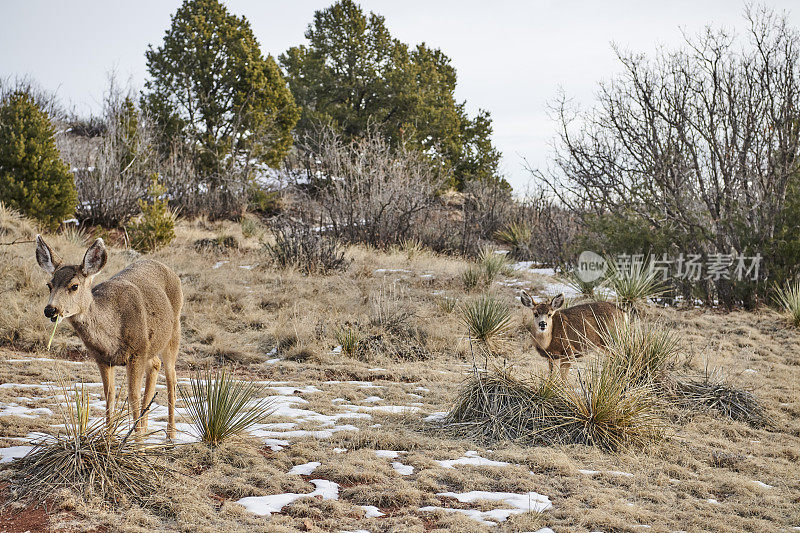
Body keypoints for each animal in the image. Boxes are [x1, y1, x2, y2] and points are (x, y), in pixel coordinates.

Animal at [35, 235, 182, 438]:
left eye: (74, 286)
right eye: (49, 285)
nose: (50, 310)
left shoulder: (136, 353)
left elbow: (133, 396)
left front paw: (138, 442)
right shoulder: (102, 358)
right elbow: (109, 395)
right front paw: (110, 438)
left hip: (174, 331)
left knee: (171, 379)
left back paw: (170, 436)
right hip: (151, 346)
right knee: (155, 365)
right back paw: (146, 428)